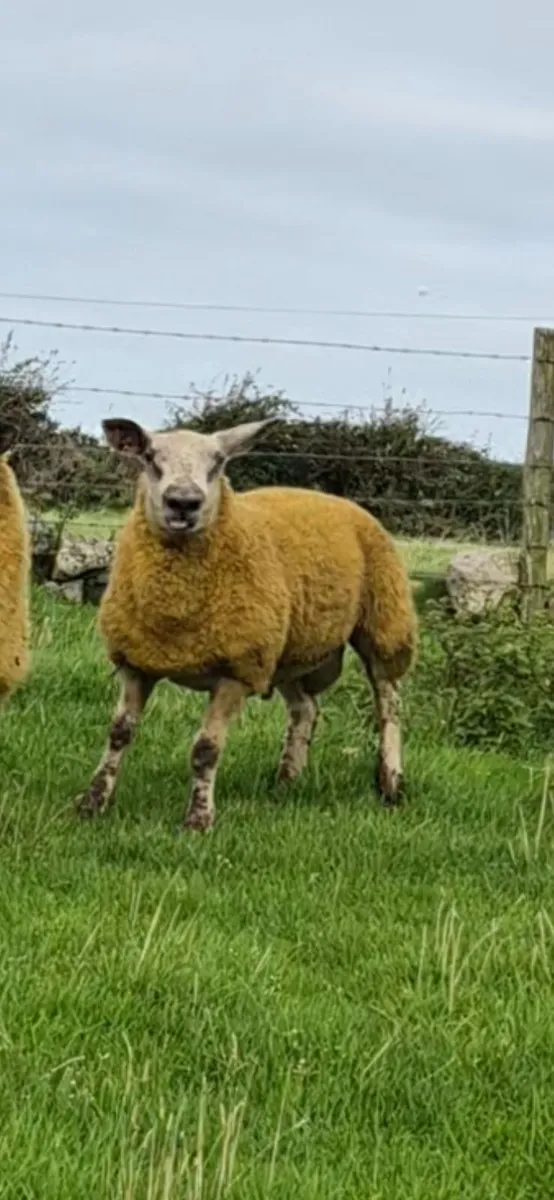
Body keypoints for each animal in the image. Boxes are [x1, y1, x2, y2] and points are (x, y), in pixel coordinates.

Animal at [77, 417, 417, 831]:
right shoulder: (137, 662)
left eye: (218, 461)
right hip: (286, 650)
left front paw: (198, 819)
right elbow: (119, 734)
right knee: (305, 709)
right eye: (150, 457)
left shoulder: (235, 671)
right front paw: (93, 802)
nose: (184, 502)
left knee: (388, 705)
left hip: (384, 624)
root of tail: (333, 498)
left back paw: (390, 783)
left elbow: (206, 750)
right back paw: (286, 781)